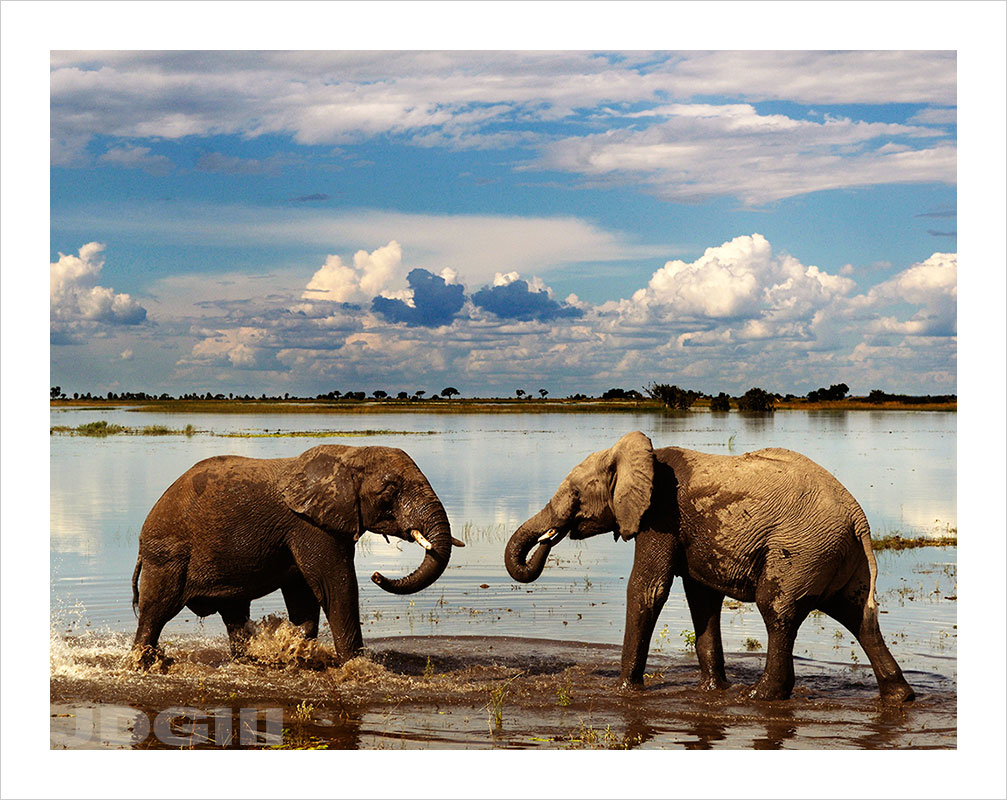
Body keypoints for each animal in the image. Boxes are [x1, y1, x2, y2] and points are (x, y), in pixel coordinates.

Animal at [131, 443, 461, 669]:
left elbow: (303, 594)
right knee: (155, 612)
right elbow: (335, 586)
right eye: (390, 489)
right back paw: (143, 663)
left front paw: (296, 650)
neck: (350, 454)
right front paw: (354, 665)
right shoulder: (310, 525)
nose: (377, 574)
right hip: (167, 556)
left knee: (234, 614)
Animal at [507, 429, 918, 697]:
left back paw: (758, 696)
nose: (549, 537)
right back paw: (900, 696)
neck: (638, 455)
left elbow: (647, 590)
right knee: (859, 618)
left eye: (576, 494)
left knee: (778, 610)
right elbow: (701, 598)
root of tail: (858, 518)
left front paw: (624, 690)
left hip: (803, 550)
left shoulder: (661, 515)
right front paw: (712, 689)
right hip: (837, 554)